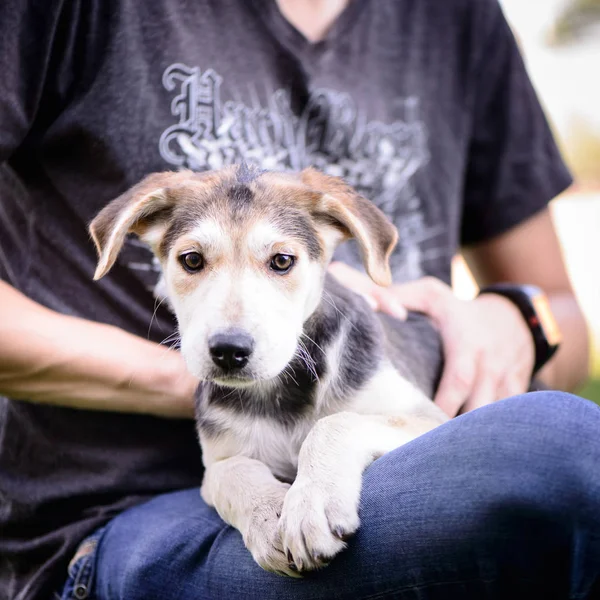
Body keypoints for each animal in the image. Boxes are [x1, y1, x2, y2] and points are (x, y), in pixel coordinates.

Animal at [88, 164, 446, 576]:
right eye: (191, 260)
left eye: (282, 261)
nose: (229, 351)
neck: (279, 388)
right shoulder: (218, 460)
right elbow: (231, 473)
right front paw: (269, 515)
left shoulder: (429, 417)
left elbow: (335, 423)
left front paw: (311, 504)